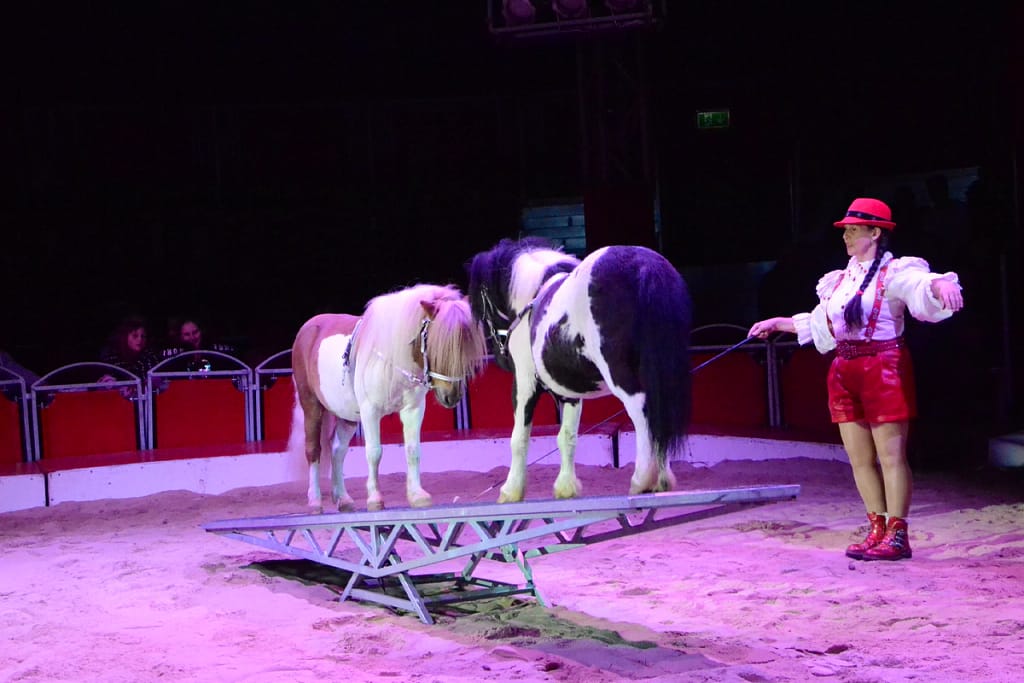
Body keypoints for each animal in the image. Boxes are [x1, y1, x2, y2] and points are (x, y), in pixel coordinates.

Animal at [286, 282, 481, 511]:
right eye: (434, 342)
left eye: (465, 347)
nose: (452, 396)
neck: (392, 356)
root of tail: (308, 327)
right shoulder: (370, 411)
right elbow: (374, 452)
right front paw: (375, 499)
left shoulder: (413, 409)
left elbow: (412, 450)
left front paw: (417, 496)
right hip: (311, 406)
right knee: (313, 450)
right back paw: (315, 500)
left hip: (348, 415)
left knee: (337, 450)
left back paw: (343, 499)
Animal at [466, 239, 692, 501]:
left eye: (483, 307)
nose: (500, 355)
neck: (533, 297)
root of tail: (645, 265)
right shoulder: (568, 391)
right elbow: (567, 436)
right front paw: (566, 487)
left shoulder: (524, 383)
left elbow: (518, 438)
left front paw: (510, 490)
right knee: (660, 414)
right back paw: (662, 480)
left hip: (619, 372)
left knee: (641, 409)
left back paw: (641, 479)